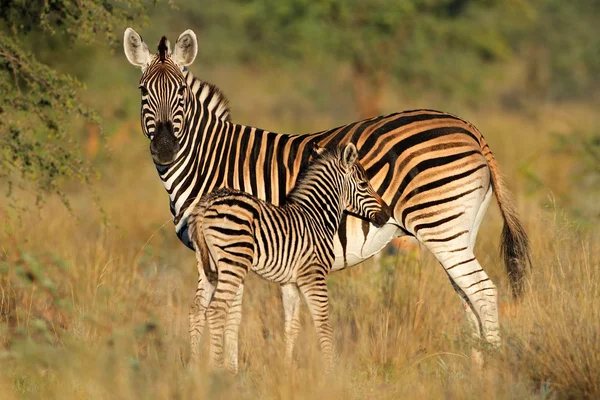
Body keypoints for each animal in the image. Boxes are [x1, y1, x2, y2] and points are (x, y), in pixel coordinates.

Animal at [188, 144, 392, 372]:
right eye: (364, 184)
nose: (387, 213)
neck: (316, 218)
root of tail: (206, 203)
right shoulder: (314, 275)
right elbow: (323, 323)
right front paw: (330, 371)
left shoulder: (289, 282)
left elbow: (291, 325)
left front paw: (287, 368)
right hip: (234, 260)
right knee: (216, 310)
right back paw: (215, 370)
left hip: (207, 264)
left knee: (197, 310)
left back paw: (193, 368)